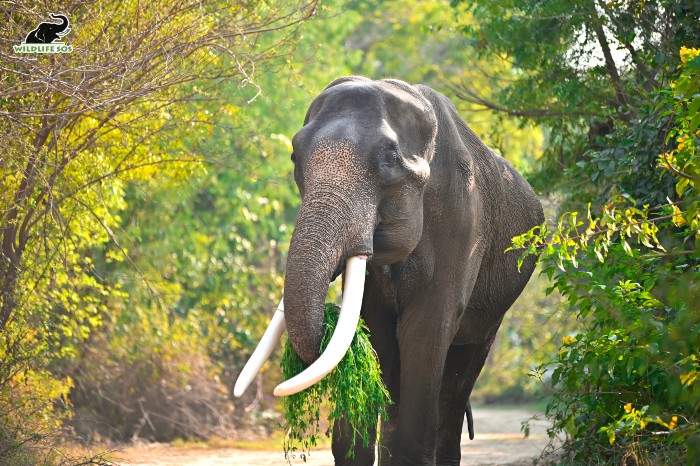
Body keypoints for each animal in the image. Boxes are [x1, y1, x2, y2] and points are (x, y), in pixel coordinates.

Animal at [234, 77, 540, 466]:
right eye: (294, 157)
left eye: (389, 160)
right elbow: (374, 328)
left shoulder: (463, 220)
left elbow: (425, 329)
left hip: (495, 308)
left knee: (458, 383)